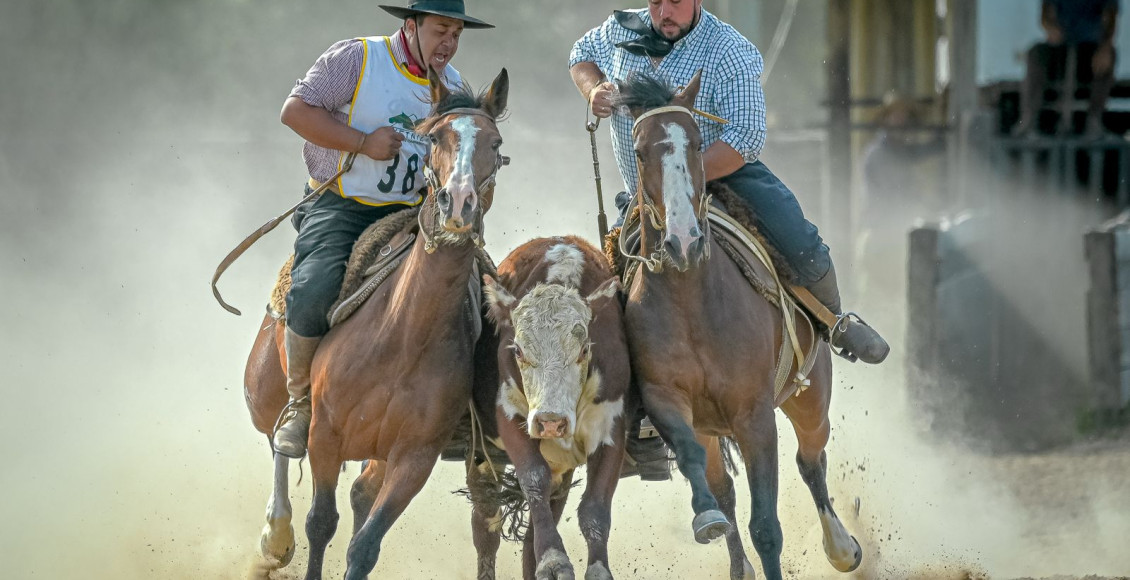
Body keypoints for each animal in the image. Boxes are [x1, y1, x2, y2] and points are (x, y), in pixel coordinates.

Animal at [468, 236, 629, 580]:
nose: (551, 422)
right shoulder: (510, 414)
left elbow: (595, 507)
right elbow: (533, 478)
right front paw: (554, 559)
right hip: (483, 455)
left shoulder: (611, 425)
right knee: (486, 524)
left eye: (584, 350)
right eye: (518, 350)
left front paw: (596, 569)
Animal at [612, 70, 862, 580]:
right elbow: (698, 467)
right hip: (714, 426)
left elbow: (766, 525)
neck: (692, 299)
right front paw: (705, 517)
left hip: (811, 395)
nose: (683, 241)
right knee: (726, 487)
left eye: (694, 143)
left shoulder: (754, 415)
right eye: (641, 150)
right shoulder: (666, 399)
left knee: (812, 460)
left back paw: (842, 547)